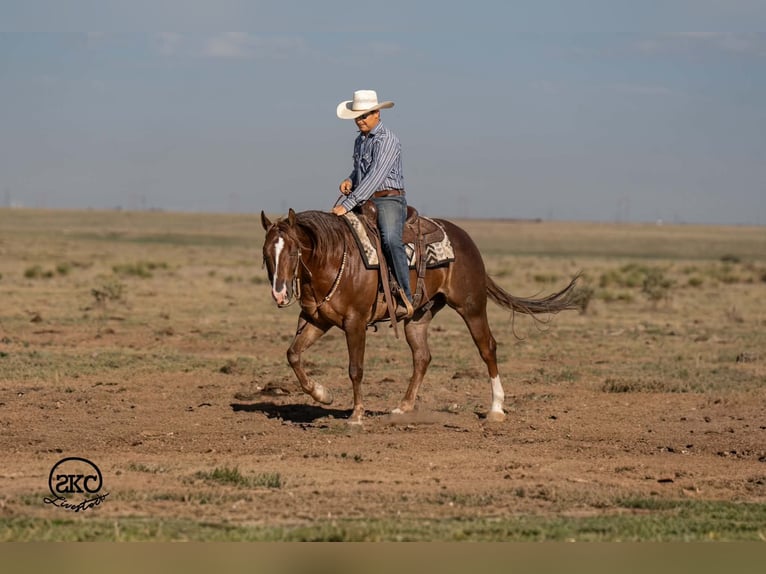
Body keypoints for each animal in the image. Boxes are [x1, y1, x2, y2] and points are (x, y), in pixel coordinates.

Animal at [260, 208, 579, 425]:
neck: (335, 258)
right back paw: (403, 407)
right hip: (419, 316)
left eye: (293, 251)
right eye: (266, 254)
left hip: (472, 306)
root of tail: (465, 239)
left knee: (487, 348)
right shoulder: (318, 320)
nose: (279, 294)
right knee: (422, 357)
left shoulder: (355, 323)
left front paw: (357, 415)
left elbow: (355, 369)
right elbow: (293, 355)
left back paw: (496, 409)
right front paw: (322, 394)